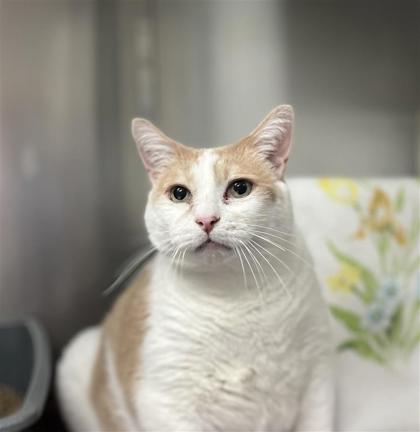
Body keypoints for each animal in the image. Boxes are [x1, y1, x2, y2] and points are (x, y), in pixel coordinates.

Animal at [57, 105, 334, 432]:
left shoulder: (318, 377)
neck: (232, 295)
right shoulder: (166, 405)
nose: (206, 219)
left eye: (240, 188)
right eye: (179, 193)